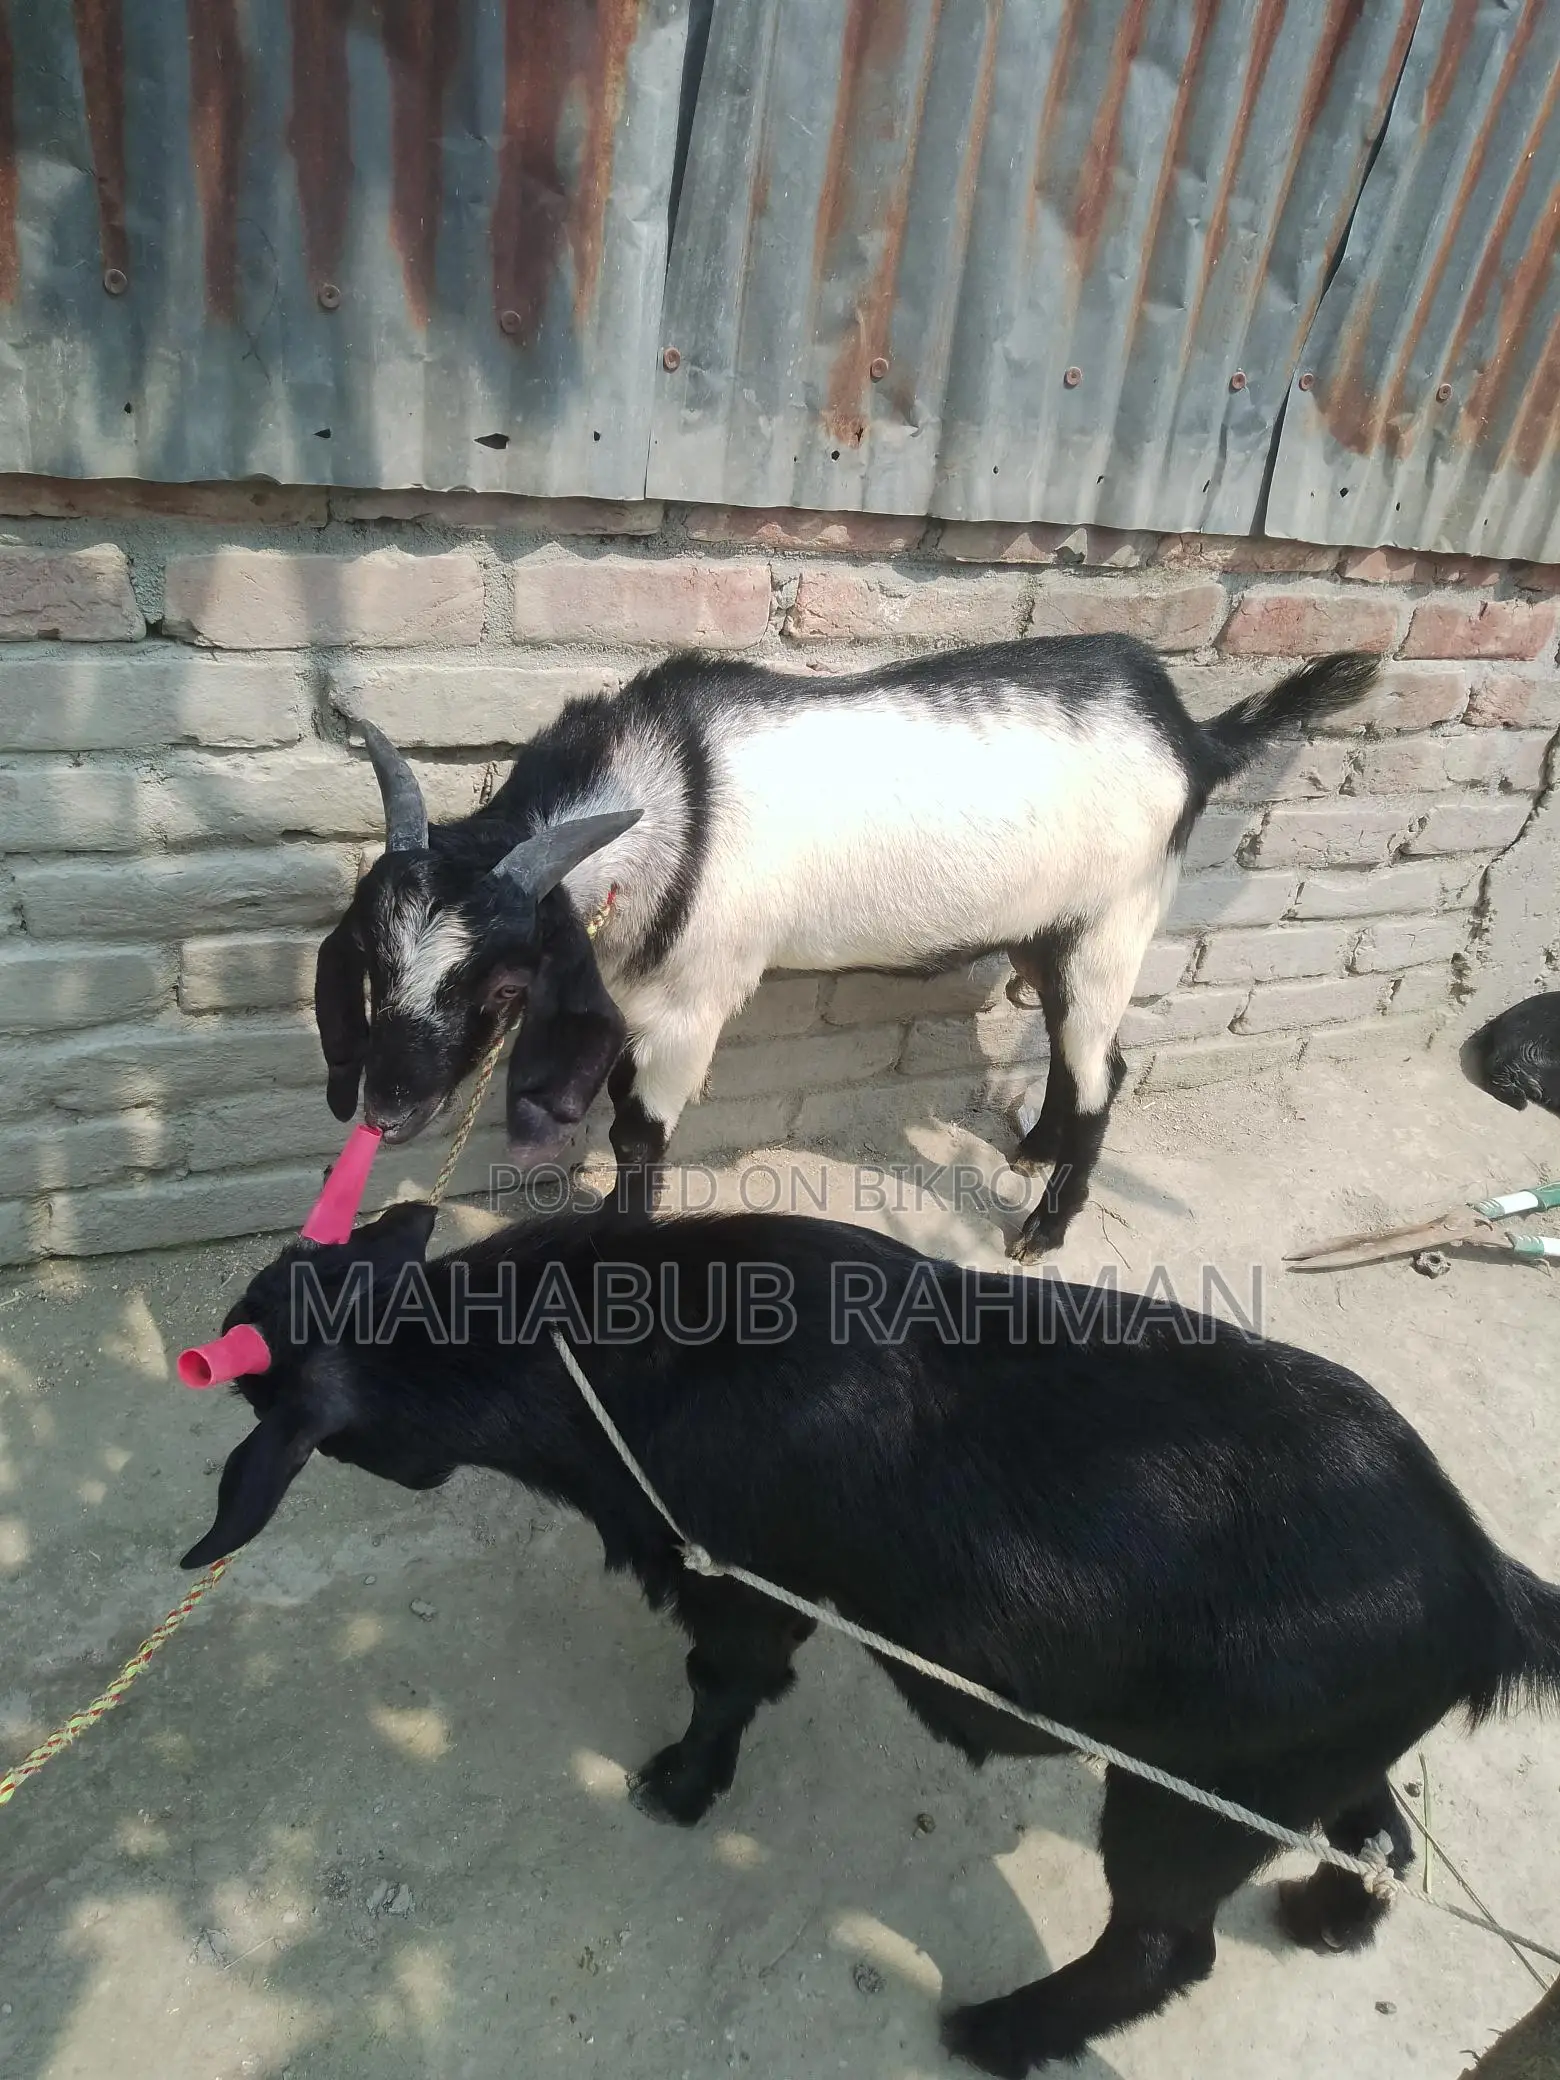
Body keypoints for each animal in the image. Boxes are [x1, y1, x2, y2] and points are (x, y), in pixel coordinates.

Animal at [182, 1204, 1559, 2076]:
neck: (608, 1356)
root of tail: (1484, 1580)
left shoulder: (747, 1577)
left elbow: (725, 1677)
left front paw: (677, 1787)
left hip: (1191, 1797)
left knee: (1164, 1943)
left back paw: (995, 2033)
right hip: (1303, 1762)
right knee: (1380, 1825)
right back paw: (1328, 1918)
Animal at [317, 638, 1378, 1257]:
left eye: (498, 989)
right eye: (373, 965)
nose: (385, 1108)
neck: (673, 801)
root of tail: (1193, 737)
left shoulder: (695, 1007)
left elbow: (638, 1136)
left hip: (1115, 921)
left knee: (1104, 1073)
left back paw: (1042, 1230)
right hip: (1046, 936)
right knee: (1084, 1055)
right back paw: (1033, 1148)